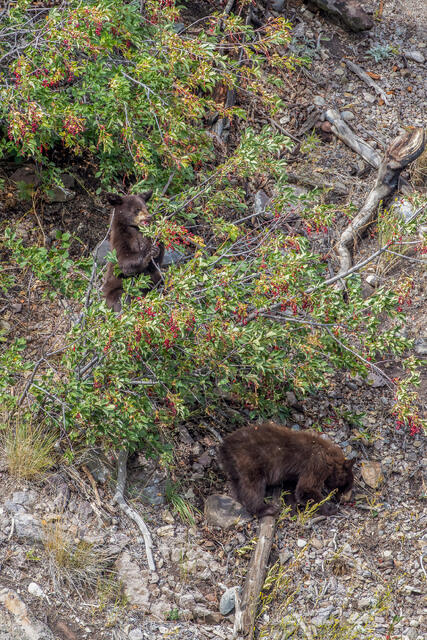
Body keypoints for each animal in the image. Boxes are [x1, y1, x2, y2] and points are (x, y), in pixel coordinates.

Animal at [219, 421, 354, 518]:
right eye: (347, 485)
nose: (344, 500)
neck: (329, 457)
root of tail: (225, 446)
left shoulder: (293, 474)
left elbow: (291, 487)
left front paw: (293, 507)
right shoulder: (316, 464)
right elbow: (306, 489)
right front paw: (330, 508)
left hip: (234, 467)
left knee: (238, 486)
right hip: (250, 462)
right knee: (252, 487)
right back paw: (266, 508)